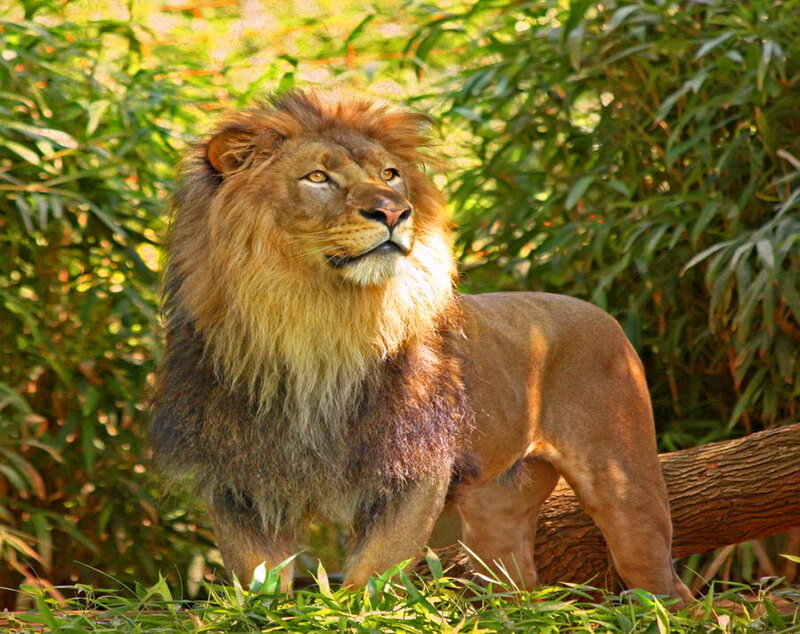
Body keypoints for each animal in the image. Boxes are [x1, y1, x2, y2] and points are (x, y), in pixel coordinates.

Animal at [151, 89, 691, 601]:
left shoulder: (414, 465)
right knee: (519, 589)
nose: (394, 211)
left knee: (664, 583)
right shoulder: (236, 474)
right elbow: (258, 579)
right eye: (318, 177)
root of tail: (601, 313)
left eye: (389, 174)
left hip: (624, 486)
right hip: (495, 513)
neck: (316, 324)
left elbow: (374, 573)